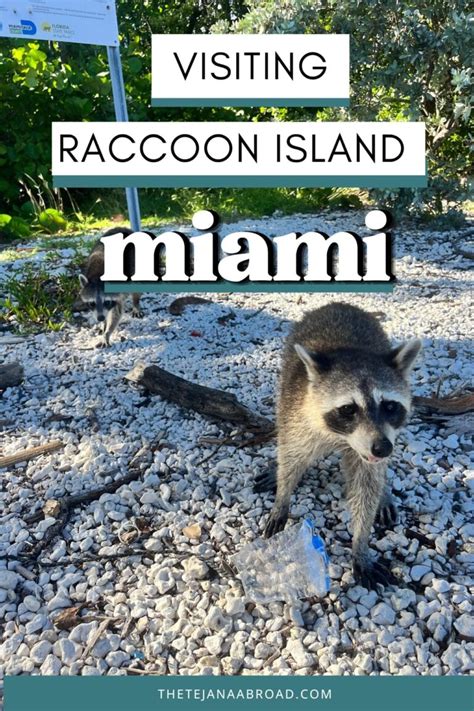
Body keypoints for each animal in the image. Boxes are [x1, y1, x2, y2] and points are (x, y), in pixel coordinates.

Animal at [257, 302, 421, 589]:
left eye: (390, 406)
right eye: (348, 409)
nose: (382, 448)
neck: (342, 437)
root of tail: (339, 304)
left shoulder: (373, 447)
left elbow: (367, 486)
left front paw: (360, 543)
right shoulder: (295, 413)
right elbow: (291, 457)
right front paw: (282, 499)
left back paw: (384, 491)